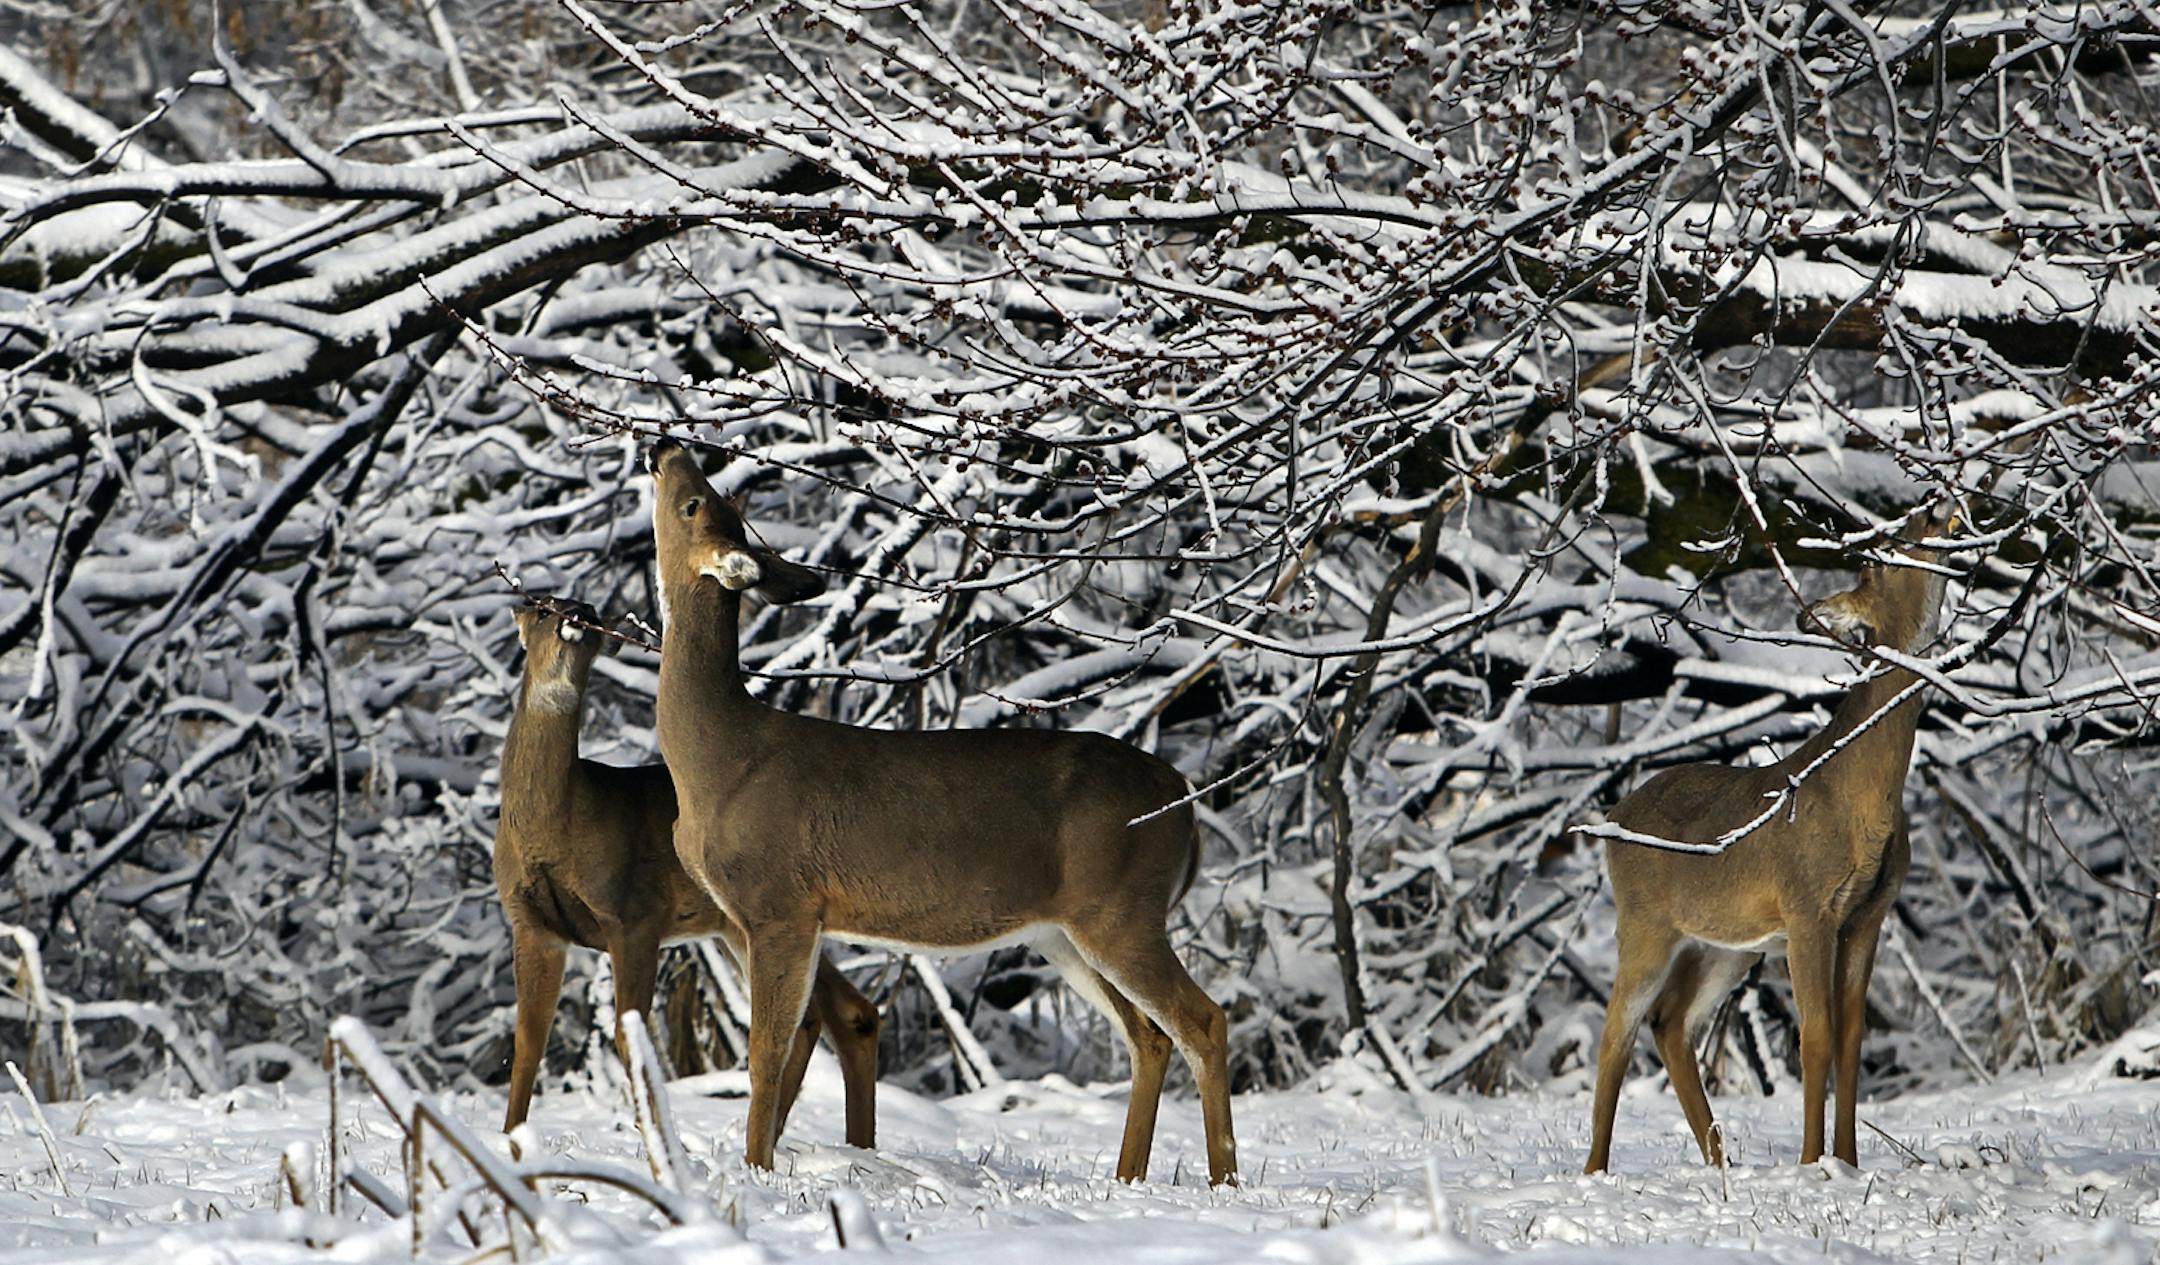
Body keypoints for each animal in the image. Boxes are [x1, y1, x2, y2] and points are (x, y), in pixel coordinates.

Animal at [492, 597, 881, 1147]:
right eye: (543, 609)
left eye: (589, 611)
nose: (581, 612)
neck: (558, 823)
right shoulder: (530, 922)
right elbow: (529, 1040)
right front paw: (509, 1140)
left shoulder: (633, 912)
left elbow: (629, 1035)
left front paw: (656, 1140)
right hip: (741, 926)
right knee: (837, 1014)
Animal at [644, 440, 1239, 1186]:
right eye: (714, 498)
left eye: (695, 501)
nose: (664, 446)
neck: (719, 758)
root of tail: (1185, 802)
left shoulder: (780, 903)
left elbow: (765, 1052)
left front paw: (756, 1170)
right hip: (1065, 930)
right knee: (1149, 1034)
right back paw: (1126, 1178)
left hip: (1123, 906)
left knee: (1203, 1020)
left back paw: (1223, 1181)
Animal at [1583, 536, 1949, 1175]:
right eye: (1874, 562)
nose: (1931, 515)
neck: (1860, 797)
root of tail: (1612, 818)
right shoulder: (1807, 907)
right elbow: (1816, 1037)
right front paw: (1810, 1165)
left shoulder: (1868, 915)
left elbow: (1850, 1038)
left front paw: (1847, 1163)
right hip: (1646, 922)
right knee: (1616, 1031)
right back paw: (1596, 1171)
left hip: (1726, 947)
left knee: (1671, 1023)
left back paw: (1718, 1161)